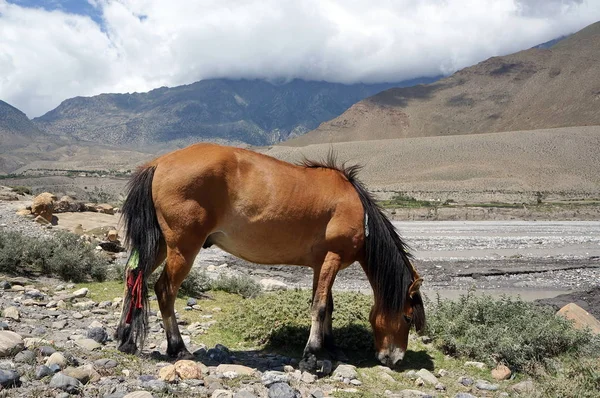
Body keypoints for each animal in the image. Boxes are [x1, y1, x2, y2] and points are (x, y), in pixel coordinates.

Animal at [116, 141, 426, 368]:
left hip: (159, 245)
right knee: (164, 290)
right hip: (182, 248)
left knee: (134, 276)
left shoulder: (322, 264)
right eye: (408, 317)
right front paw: (312, 356)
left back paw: (125, 338)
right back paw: (178, 349)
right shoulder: (333, 258)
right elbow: (320, 307)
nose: (394, 360)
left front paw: (331, 349)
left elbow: (327, 306)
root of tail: (158, 164)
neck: (357, 210)